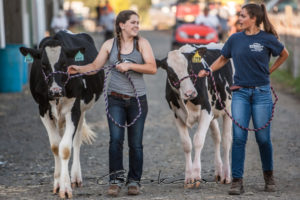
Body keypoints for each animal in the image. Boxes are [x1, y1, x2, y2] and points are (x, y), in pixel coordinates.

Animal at [19, 30, 104, 198]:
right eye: (43, 65)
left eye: (65, 64)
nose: (55, 90)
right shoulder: (43, 109)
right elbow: (55, 146)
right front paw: (58, 184)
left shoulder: (74, 109)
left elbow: (65, 148)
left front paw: (65, 188)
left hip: (82, 110)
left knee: (76, 140)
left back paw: (75, 177)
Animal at [157, 43, 234, 188]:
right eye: (171, 73)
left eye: (190, 68)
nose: (190, 93)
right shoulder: (177, 115)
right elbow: (186, 144)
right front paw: (188, 177)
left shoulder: (205, 111)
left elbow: (198, 140)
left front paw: (196, 175)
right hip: (213, 113)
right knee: (216, 137)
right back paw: (219, 171)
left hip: (228, 107)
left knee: (226, 140)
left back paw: (226, 176)